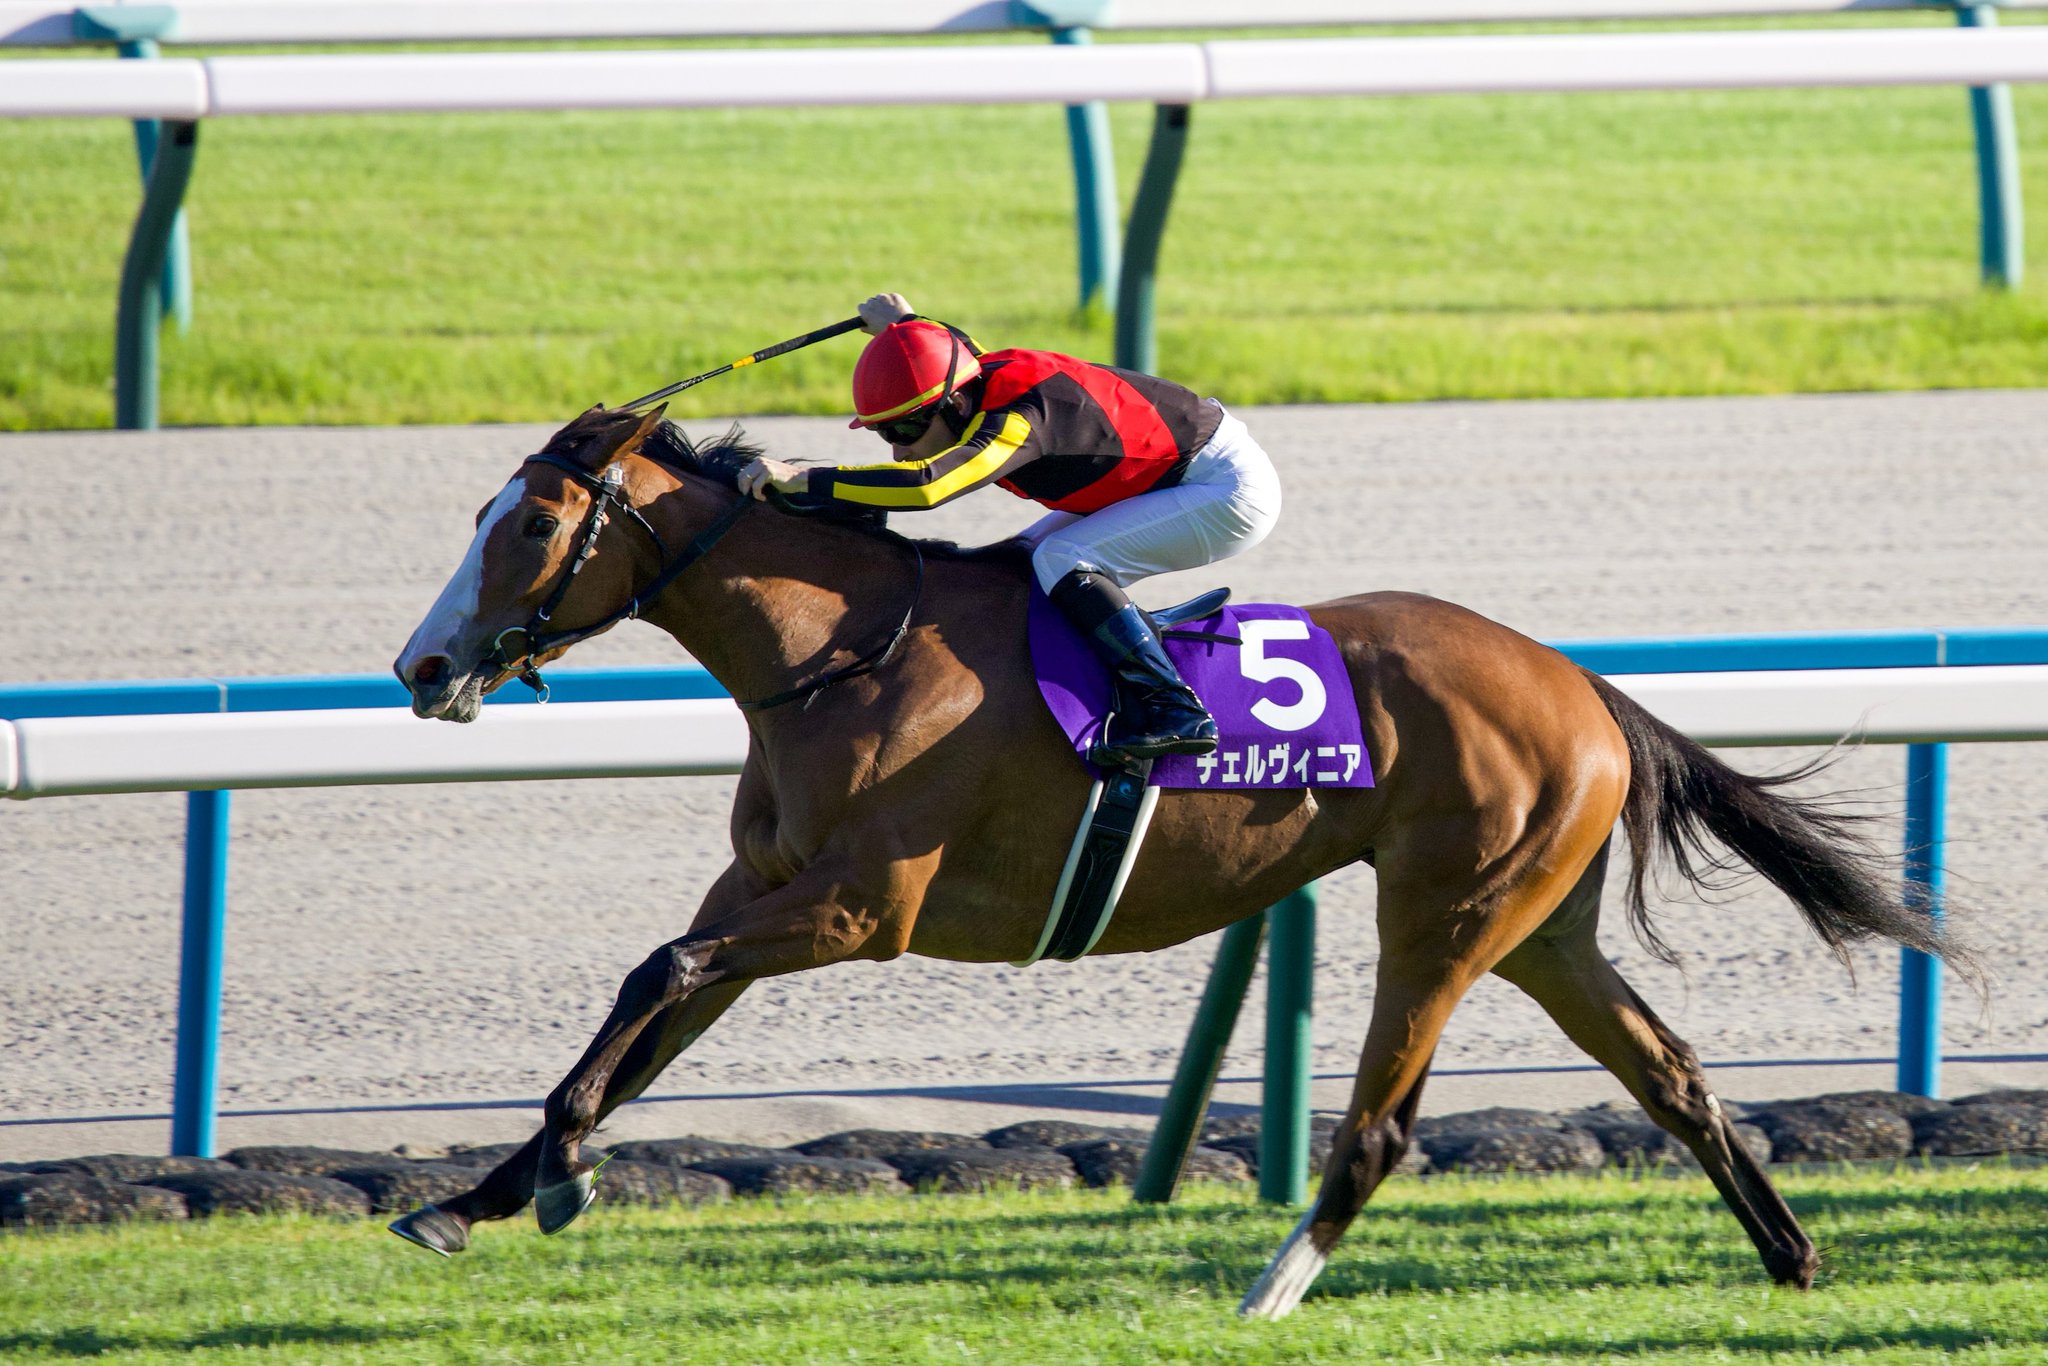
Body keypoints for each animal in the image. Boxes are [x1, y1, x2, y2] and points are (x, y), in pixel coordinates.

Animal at [391, 403, 1957, 1310]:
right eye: (483, 514)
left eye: (534, 521)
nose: (423, 665)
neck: (843, 652)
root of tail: (1577, 682)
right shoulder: (761, 889)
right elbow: (644, 1007)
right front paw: (480, 1196)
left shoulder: (856, 910)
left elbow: (660, 972)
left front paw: (560, 1176)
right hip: (1543, 925)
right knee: (1672, 1074)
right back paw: (1793, 1257)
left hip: (1444, 911)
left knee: (1381, 1123)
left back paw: (1268, 1294)